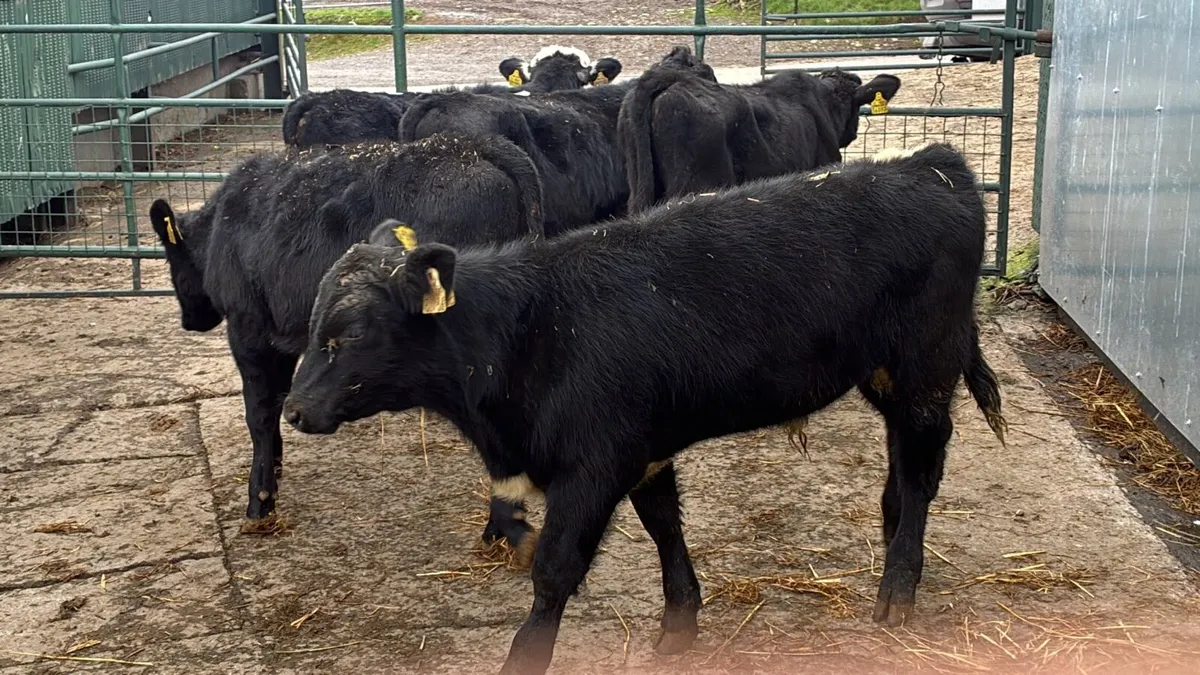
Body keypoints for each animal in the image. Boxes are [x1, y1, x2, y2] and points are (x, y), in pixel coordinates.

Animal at [147, 133, 546, 560]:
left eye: (170, 259)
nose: (189, 321)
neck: (223, 224)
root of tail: (476, 145)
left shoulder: (249, 330)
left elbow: (259, 413)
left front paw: (260, 504)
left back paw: (497, 531)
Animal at [281, 141, 1008, 675]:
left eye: (350, 333)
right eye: (313, 322)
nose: (294, 408)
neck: (527, 332)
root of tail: (932, 163)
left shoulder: (594, 465)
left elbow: (555, 570)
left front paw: (526, 656)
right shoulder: (643, 449)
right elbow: (664, 527)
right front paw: (681, 620)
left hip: (925, 369)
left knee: (920, 473)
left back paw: (898, 588)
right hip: (887, 377)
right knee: (903, 472)